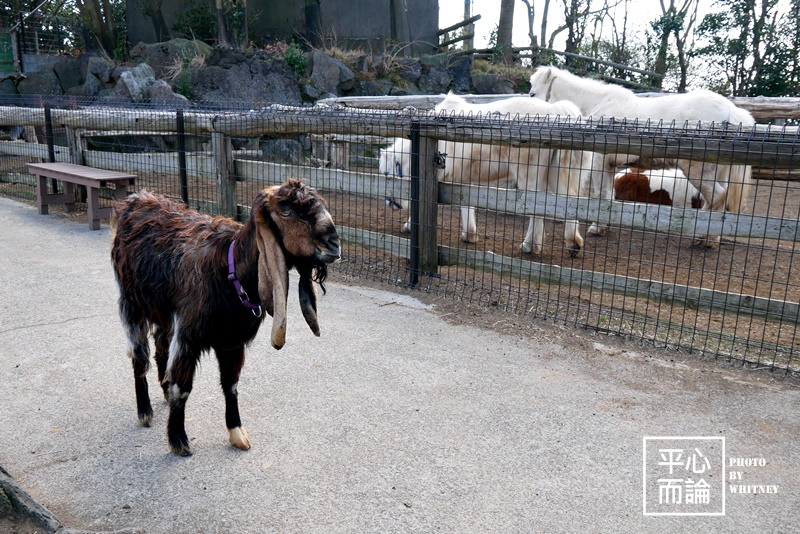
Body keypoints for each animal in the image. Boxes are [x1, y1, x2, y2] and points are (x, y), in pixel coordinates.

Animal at [110, 181, 340, 456]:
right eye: (287, 212)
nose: (334, 244)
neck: (230, 273)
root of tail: (134, 200)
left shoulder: (231, 341)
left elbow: (231, 385)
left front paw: (237, 432)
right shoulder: (189, 336)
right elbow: (183, 388)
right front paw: (178, 440)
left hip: (164, 311)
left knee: (160, 346)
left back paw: (163, 390)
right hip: (132, 303)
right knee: (139, 356)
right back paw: (145, 411)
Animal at [528, 65, 752, 247]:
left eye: (532, 93)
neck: (599, 106)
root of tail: (731, 111)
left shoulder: (600, 163)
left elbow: (600, 194)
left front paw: (596, 227)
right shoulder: (611, 166)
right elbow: (608, 195)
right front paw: (602, 226)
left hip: (698, 171)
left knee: (716, 197)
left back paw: (699, 235)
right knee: (719, 201)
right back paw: (711, 239)